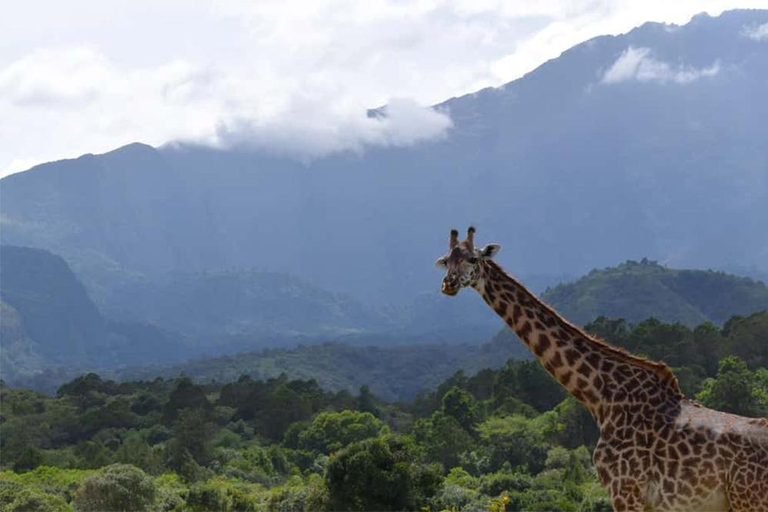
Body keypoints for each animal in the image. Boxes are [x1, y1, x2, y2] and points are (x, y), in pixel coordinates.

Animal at [436, 228, 764, 512]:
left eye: (473, 259)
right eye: (446, 260)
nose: (448, 284)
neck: (602, 397)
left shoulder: (625, 489)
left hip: (749, 499)